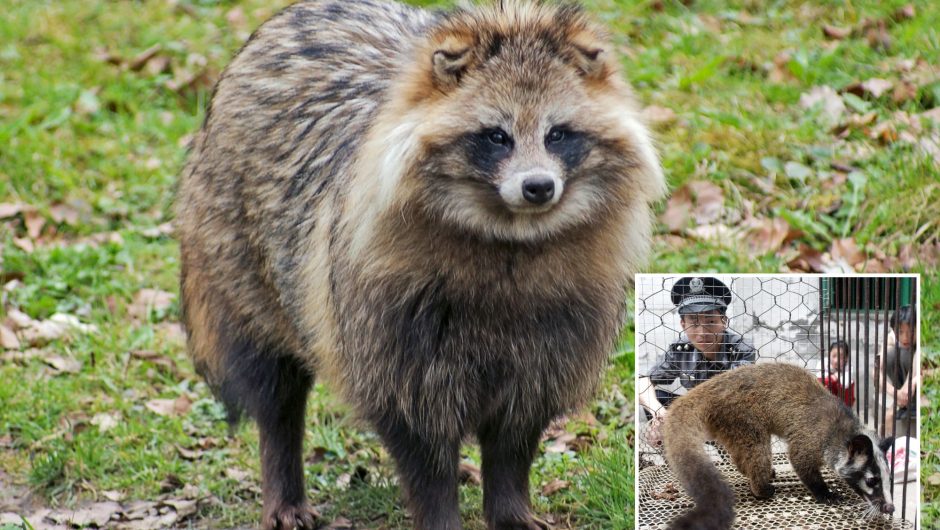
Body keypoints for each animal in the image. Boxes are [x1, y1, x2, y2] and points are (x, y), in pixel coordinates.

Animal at [175, 0, 664, 528]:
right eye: (496, 136)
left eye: (557, 134)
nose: (538, 187)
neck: (511, 236)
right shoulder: (389, 322)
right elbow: (418, 435)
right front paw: (439, 510)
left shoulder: (559, 329)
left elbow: (515, 432)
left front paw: (509, 504)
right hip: (239, 260)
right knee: (274, 387)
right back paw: (282, 471)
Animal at [662, 363, 895, 530]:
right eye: (871, 480)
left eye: (888, 479)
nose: (890, 507)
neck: (844, 431)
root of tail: (705, 390)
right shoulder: (810, 438)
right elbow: (799, 460)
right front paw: (823, 491)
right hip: (741, 418)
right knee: (757, 449)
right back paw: (760, 486)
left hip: (730, 426)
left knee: (742, 454)